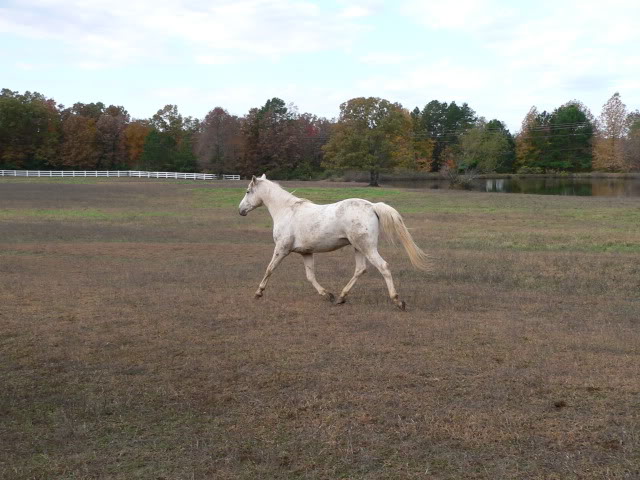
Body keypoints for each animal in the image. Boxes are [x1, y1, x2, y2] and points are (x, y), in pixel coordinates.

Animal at [240, 174, 430, 310]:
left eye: (248, 191)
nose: (240, 210)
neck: (287, 211)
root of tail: (372, 206)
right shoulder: (306, 252)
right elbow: (310, 276)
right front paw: (327, 294)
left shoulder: (281, 249)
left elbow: (269, 269)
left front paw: (258, 293)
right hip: (358, 248)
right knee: (360, 269)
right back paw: (341, 297)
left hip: (367, 248)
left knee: (383, 267)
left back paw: (397, 301)